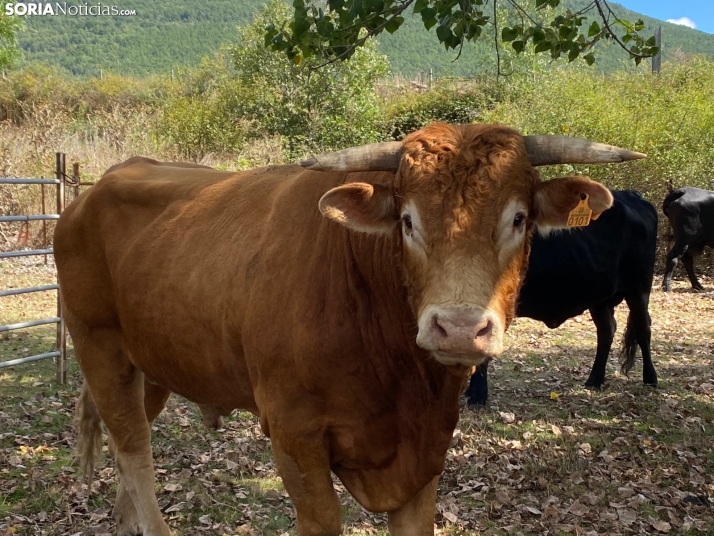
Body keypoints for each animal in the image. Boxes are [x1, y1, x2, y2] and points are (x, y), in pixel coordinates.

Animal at [52, 123, 636, 532]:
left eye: (518, 218)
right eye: (407, 221)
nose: (458, 328)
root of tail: (95, 188)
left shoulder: (424, 453)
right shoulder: (295, 437)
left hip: (151, 361)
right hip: (97, 345)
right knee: (134, 451)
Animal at [468, 191, 656, 404]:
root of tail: (632, 195)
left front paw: (477, 396)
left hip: (638, 289)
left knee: (643, 329)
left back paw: (650, 378)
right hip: (600, 298)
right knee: (607, 330)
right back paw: (595, 380)